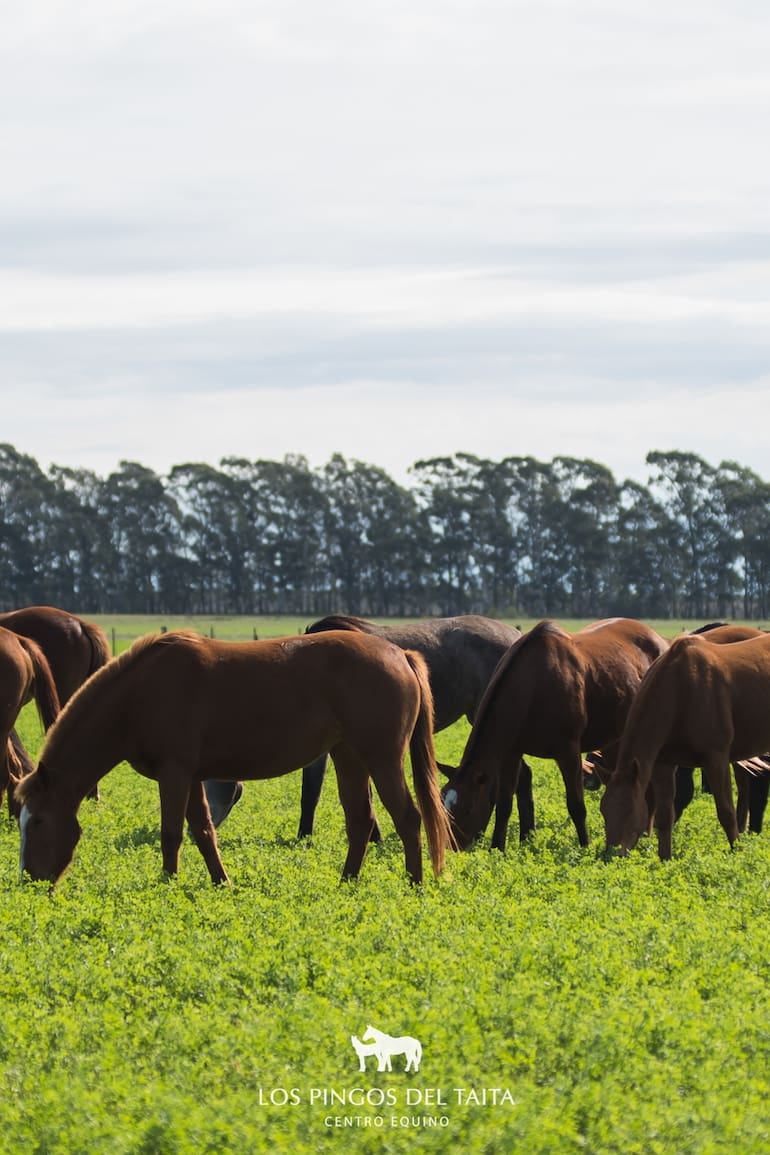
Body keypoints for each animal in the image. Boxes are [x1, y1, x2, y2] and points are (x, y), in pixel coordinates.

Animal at [16, 630, 454, 887]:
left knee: (408, 818)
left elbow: (171, 833)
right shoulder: (191, 776)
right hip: (349, 757)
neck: (139, 695)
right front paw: (220, 882)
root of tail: (400, 654)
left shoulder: (174, 774)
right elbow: (203, 831)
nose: (29, 880)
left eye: (37, 821)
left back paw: (414, 884)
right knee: (361, 821)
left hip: (382, 759)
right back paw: (346, 883)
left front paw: (167, 884)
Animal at [442, 618, 669, 851]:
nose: (452, 848)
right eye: (445, 806)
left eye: (467, 809)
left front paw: (585, 847)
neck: (533, 684)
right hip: (616, 737)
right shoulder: (511, 753)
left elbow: (576, 805)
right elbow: (504, 804)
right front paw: (497, 848)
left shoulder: (568, 753)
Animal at [601, 631, 770, 859]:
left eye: (629, 810)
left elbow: (726, 811)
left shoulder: (716, 759)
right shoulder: (663, 764)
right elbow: (665, 815)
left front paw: (736, 852)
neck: (680, 689)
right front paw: (665, 858)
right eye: (603, 810)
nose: (610, 856)